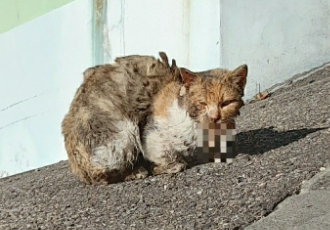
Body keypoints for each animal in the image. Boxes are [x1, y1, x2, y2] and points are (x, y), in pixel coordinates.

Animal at [62, 51, 248, 184]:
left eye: (226, 103)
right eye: (202, 103)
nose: (214, 116)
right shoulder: (152, 134)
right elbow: (166, 157)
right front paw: (166, 166)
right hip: (123, 134)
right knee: (102, 174)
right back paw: (136, 172)